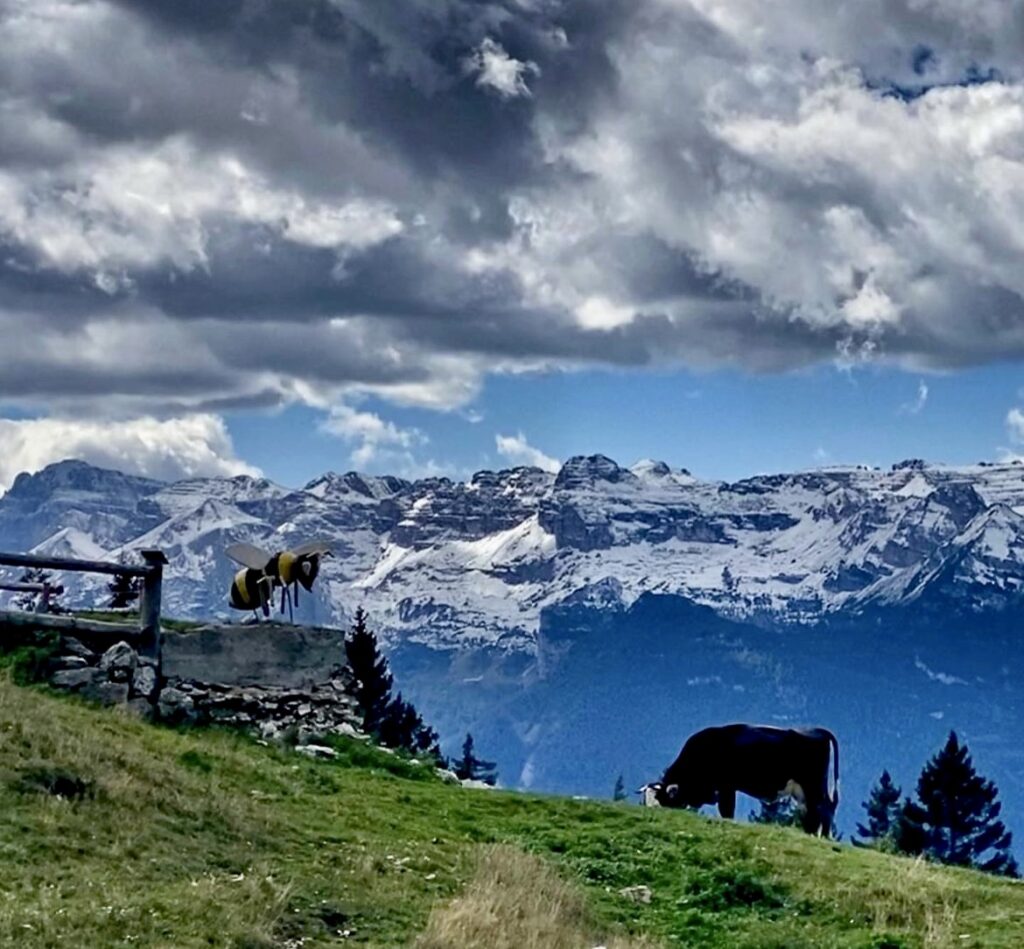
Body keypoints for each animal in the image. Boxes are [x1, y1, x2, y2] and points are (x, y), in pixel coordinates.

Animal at [638, 724, 839, 835]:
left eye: (661, 800)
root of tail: (819, 730)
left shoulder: (726, 786)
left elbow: (726, 809)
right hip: (803, 790)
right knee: (815, 810)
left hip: (813, 784)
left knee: (823, 808)